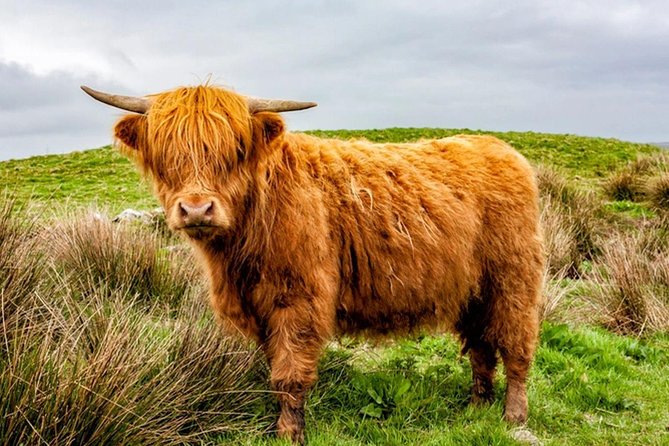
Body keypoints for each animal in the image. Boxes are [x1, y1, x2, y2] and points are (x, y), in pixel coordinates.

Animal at [82, 84, 543, 444]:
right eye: (165, 152)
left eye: (236, 150)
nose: (197, 209)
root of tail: (497, 147)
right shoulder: (258, 307)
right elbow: (274, 366)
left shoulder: (298, 297)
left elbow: (289, 372)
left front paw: (290, 433)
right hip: (472, 290)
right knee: (481, 346)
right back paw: (477, 407)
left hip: (513, 278)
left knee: (516, 344)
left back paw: (513, 415)